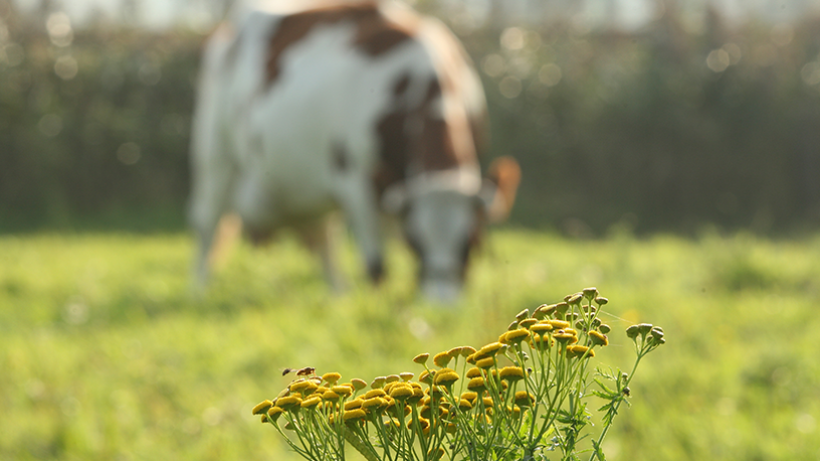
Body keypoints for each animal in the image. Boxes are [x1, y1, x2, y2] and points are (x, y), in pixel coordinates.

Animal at [189, 0, 520, 300]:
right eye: (415, 241)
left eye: (472, 242)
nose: (442, 305)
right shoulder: (355, 178)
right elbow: (376, 266)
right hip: (215, 154)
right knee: (207, 222)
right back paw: (199, 291)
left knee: (322, 235)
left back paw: (339, 295)